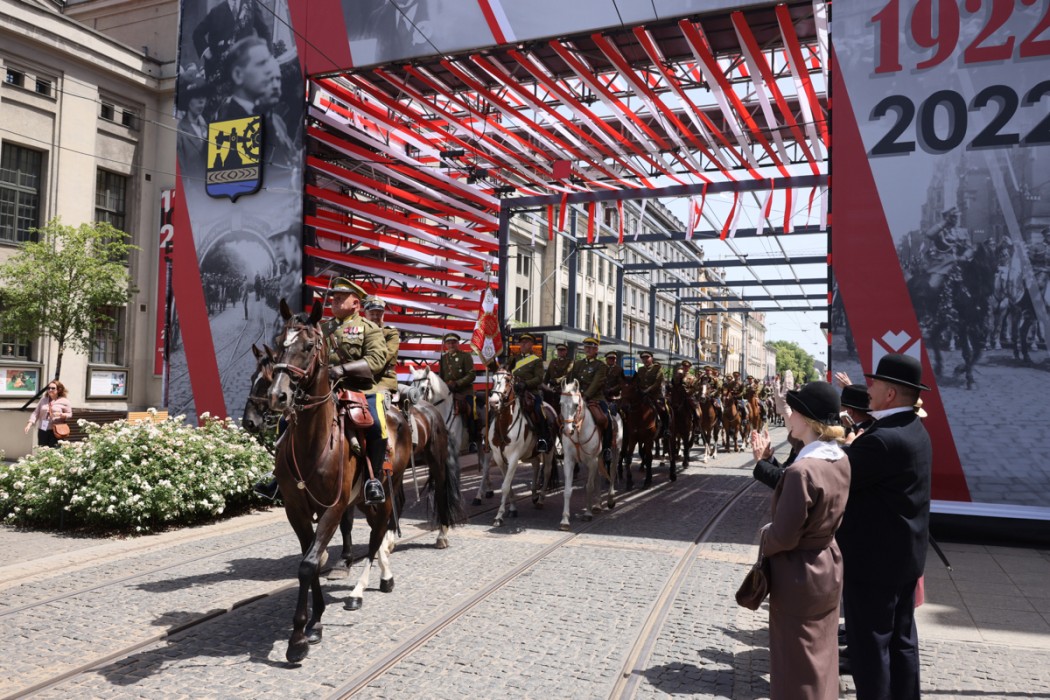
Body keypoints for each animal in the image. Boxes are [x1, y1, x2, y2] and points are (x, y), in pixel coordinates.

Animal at [486, 369, 556, 527]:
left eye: (507, 380)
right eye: (493, 379)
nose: (493, 402)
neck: (504, 424)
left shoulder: (513, 458)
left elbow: (505, 486)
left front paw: (499, 516)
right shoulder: (499, 459)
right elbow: (509, 484)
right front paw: (512, 508)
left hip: (549, 451)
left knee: (547, 471)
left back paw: (540, 499)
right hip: (529, 453)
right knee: (536, 465)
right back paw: (534, 495)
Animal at [559, 379, 621, 528]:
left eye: (576, 405)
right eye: (561, 404)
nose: (568, 430)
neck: (579, 431)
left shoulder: (592, 460)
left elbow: (589, 487)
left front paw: (587, 514)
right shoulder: (569, 461)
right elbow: (567, 490)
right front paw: (565, 519)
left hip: (615, 451)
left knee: (612, 472)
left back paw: (610, 499)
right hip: (596, 459)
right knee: (598, 477)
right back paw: (597, 505)